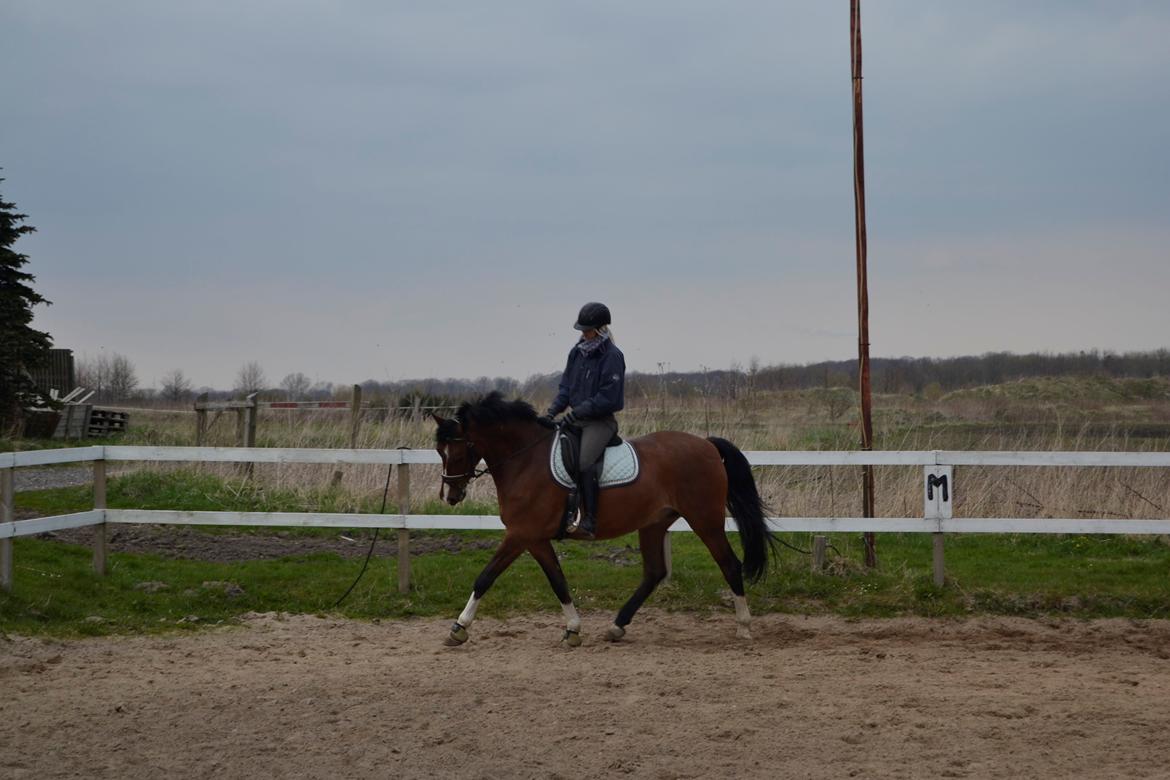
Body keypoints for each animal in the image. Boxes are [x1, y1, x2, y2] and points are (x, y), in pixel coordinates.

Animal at [432, 392, 776, 650]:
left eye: (458, 451)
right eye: (438, 450)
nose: (450, 495)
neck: (526, 460)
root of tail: (707, 444)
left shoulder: (520, 534)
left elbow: (485, 577)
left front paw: (458, 628)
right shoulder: (536, 538)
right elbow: (558, 581)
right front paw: (573, 629)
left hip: (705, 519)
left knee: (729, 564)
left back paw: (744, 627)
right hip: (654, 524)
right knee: (654, 572)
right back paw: (616, 627)